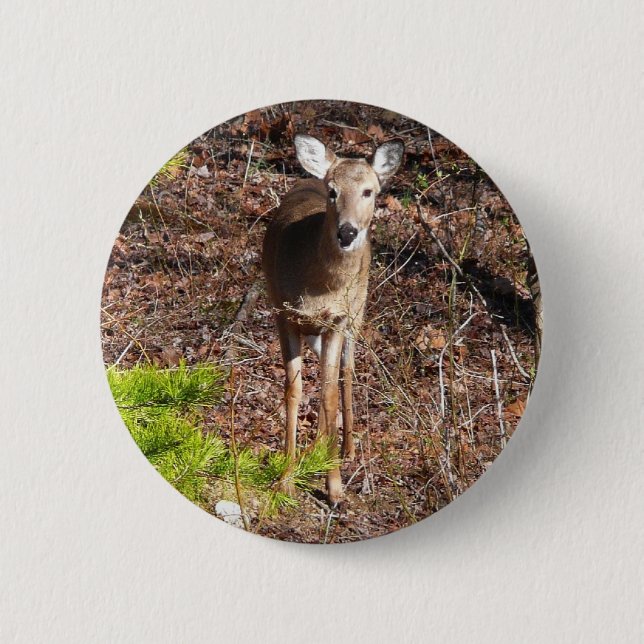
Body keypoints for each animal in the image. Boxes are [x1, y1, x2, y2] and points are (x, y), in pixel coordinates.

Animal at [262, 134, 404, 505]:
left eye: (369, 191)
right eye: (333, 191)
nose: (347, 232)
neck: (320, 287)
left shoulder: (338, 320)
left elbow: (327, 394)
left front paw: (334, 486)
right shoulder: (283, 313)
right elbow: (294, 390)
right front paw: (285, 478)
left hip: (358, 311)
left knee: (347, 372)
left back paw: (346, 449)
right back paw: (318, 448)